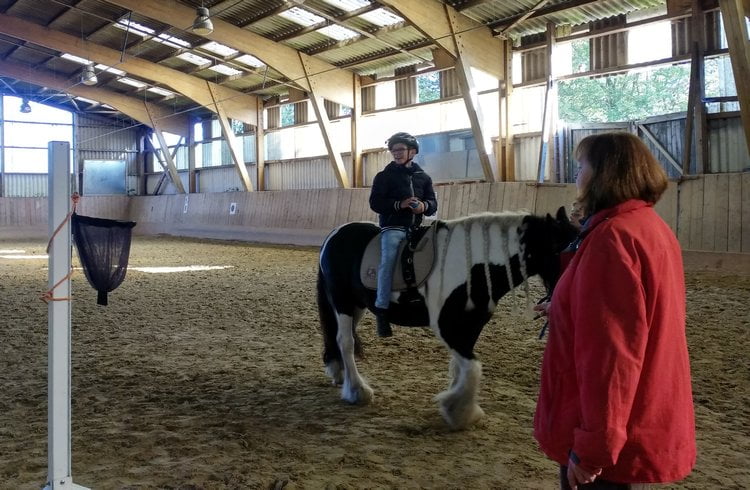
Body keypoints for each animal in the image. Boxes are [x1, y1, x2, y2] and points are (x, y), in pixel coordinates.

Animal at [316, 207, 576, 428]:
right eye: (564, 250)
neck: (473, 266)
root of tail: (335, 234)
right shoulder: (447, 327)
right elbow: (473, 368)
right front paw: (459, 411)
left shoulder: (472, 325)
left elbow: (464, 367)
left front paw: (457, 401)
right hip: (342, 302)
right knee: (345, 342)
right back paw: (357, 390)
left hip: (357, 305)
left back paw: (339, 373)